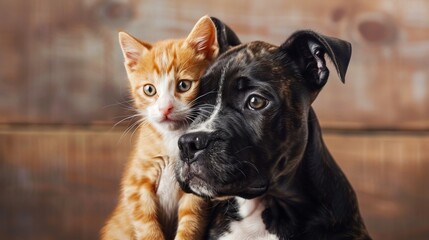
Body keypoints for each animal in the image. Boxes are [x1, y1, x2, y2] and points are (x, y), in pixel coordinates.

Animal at [102, 15, 219, 239]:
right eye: (149, 90)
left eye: (184, 85)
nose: (165, 108)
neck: (173, 137)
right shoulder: (136, 183)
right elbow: (145, 223)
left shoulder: (196, 186)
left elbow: (191, 222)